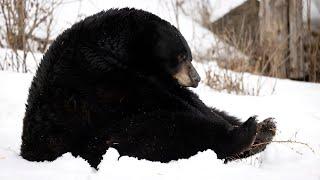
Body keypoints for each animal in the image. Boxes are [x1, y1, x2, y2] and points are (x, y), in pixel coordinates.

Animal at [20, 8, 276, 169]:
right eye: (181, 56)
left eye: (189, 56)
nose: (197, 78)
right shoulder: (93, 72)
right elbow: (144, 93)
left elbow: (191, 99)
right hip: (110, 138)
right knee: (173, 133)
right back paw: (249, 131)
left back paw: (264, 130)